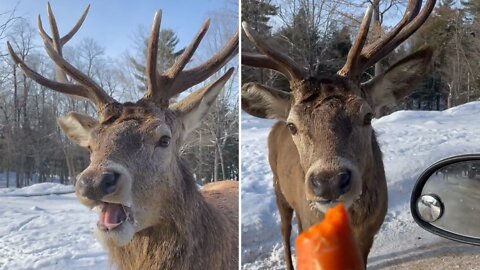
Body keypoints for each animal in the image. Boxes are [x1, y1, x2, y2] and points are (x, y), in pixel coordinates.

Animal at [242, 0, 436, 268]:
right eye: (293, 126)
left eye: (367, 115)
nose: (329, 181)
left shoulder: (369, 232)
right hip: (278, 187)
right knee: (284, 229)